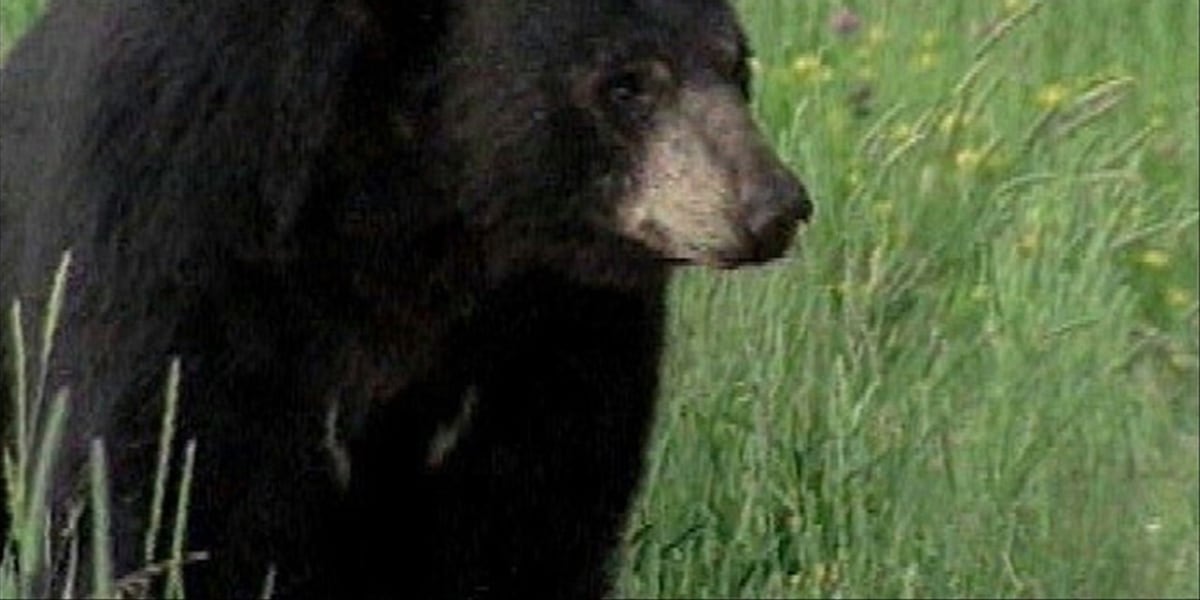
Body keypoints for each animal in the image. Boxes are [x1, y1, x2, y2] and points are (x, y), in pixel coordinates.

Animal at [0, 0, 812, 597]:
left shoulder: (559, 317)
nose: (775, 205)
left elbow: (540, 493)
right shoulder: (175, 205)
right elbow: (140, 460)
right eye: (626, 84)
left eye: (736, 62)